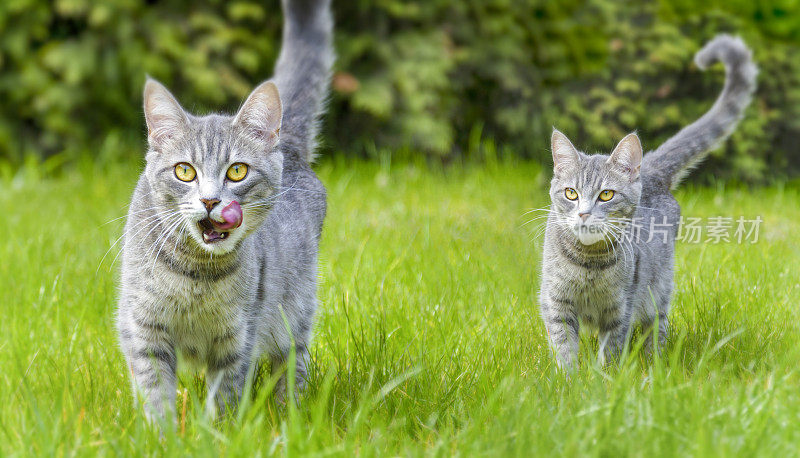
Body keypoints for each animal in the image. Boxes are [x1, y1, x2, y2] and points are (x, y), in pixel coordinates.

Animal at [536, 36, 756, 372]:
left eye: (606, 195)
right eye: (571, 193)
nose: (584, 213)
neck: (589, 265)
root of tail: (650, 170)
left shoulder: (621, 308)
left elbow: (610, 350)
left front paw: (602, 381)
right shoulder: (555, 303)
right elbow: (564, 349)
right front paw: (569, 381)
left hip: (659, 287)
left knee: (657, 326)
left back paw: (657, 365)